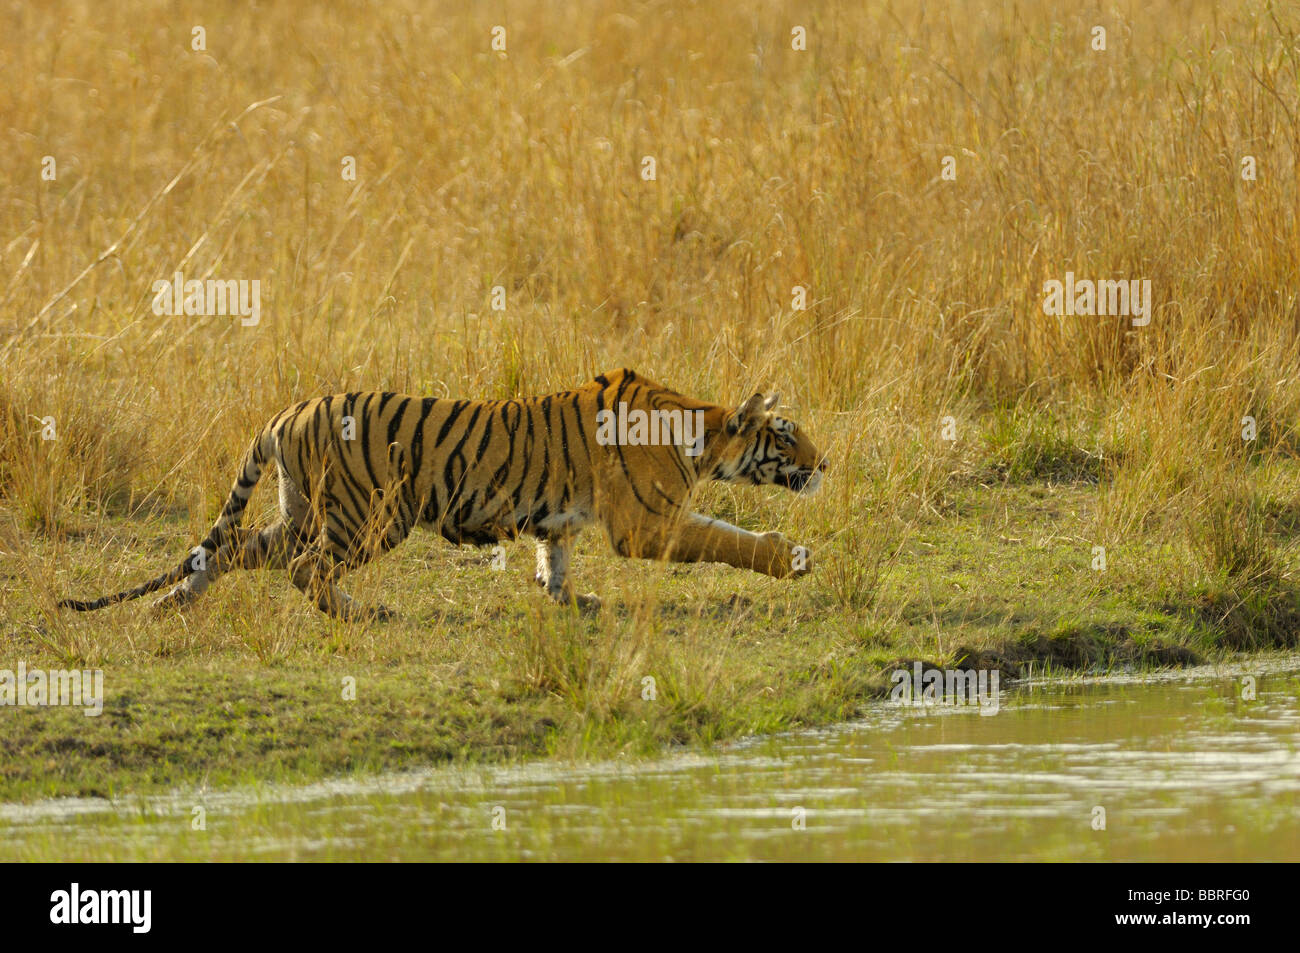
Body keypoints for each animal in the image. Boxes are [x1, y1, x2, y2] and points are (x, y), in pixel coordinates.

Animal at [58, 364, 821, 616]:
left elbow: (554, 558)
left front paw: (571, 600)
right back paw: (361, 613)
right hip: (368, 516)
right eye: (786, 436)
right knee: (301, 566)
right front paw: (791, 558)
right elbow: (724, 537)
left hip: (303, 508)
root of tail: (285, 413)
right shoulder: (648, 525)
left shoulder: (560, 519)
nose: (827, 462)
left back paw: (174, 603)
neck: (700, 430)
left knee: (237, 546)